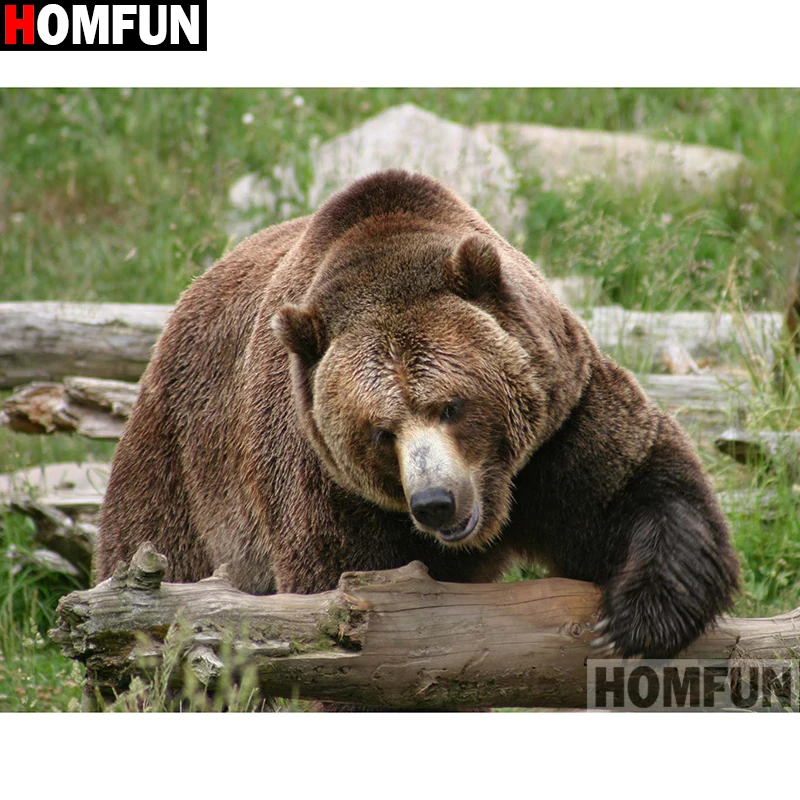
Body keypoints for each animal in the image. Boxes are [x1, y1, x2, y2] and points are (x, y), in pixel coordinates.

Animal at [96, 169, 740, 661]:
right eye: (382, 431)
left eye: (451, 405)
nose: (435, 502)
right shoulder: (329, 485)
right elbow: (344, 594)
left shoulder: (559, 424)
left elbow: (640, 489)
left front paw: (631, 620)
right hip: (182, 470)